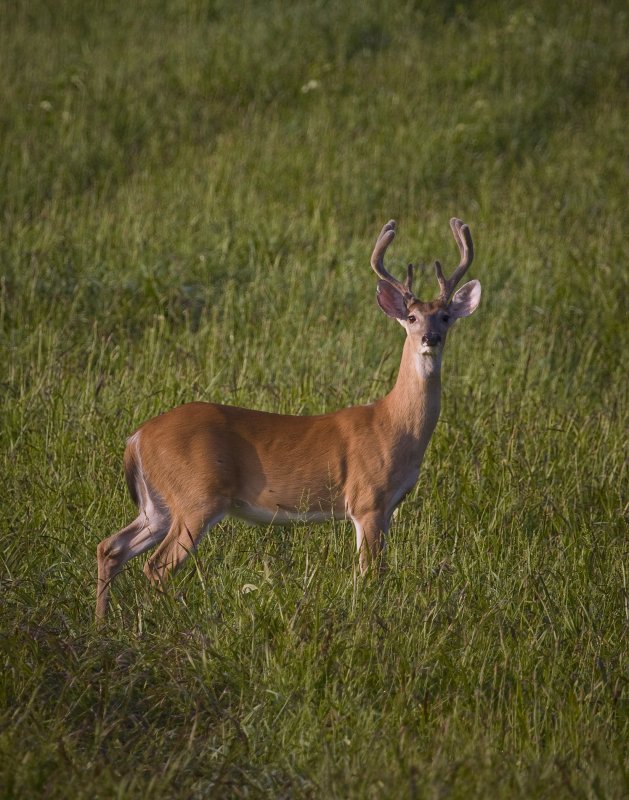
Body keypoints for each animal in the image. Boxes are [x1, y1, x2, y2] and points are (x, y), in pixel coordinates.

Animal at [95, 217, 480, 620]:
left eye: (445, 316)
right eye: (411, 317)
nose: (431, 338)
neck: (393, 425)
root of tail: (136, 438)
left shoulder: (387, 508)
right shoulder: (368, 500)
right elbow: (371, 574)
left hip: (158, 504)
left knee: (111, 546)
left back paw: (103, 622)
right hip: (196, 496)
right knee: (156, 565)